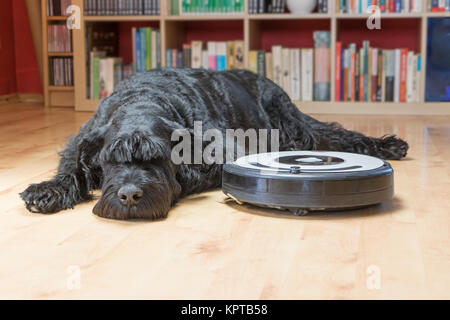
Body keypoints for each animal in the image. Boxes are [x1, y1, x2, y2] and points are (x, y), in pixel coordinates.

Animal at [20, 69, 408, 220]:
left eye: (158, 157)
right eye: (111, 160)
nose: (129, 196)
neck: (143, 101)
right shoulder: (84, 139)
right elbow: (72, 166)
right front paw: (48, 190)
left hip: (292, 125)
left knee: (332, 133)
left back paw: (387, 145)